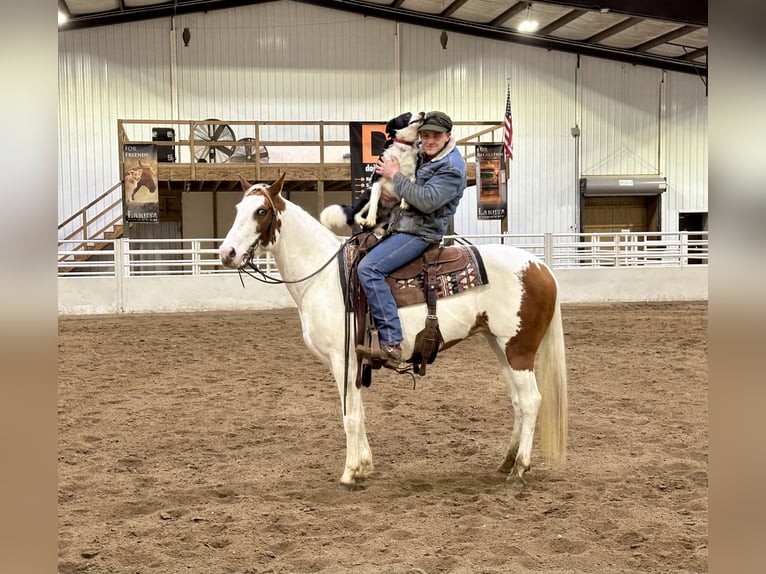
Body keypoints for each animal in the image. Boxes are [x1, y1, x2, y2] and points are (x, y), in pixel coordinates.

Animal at [219, 176, 568, 490]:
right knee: (518, 402)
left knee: (531, 401)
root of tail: (540, 266)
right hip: (498, 345)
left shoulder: (342, 359)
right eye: (236, 208)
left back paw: (520, 469)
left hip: (518, 349)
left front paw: (349, 473)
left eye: (261, 211)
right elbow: (359, 412)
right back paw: (507, 461)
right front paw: (364, 467)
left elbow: (350, 415)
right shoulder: (352, 363)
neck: (325, 277)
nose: (227, 253)